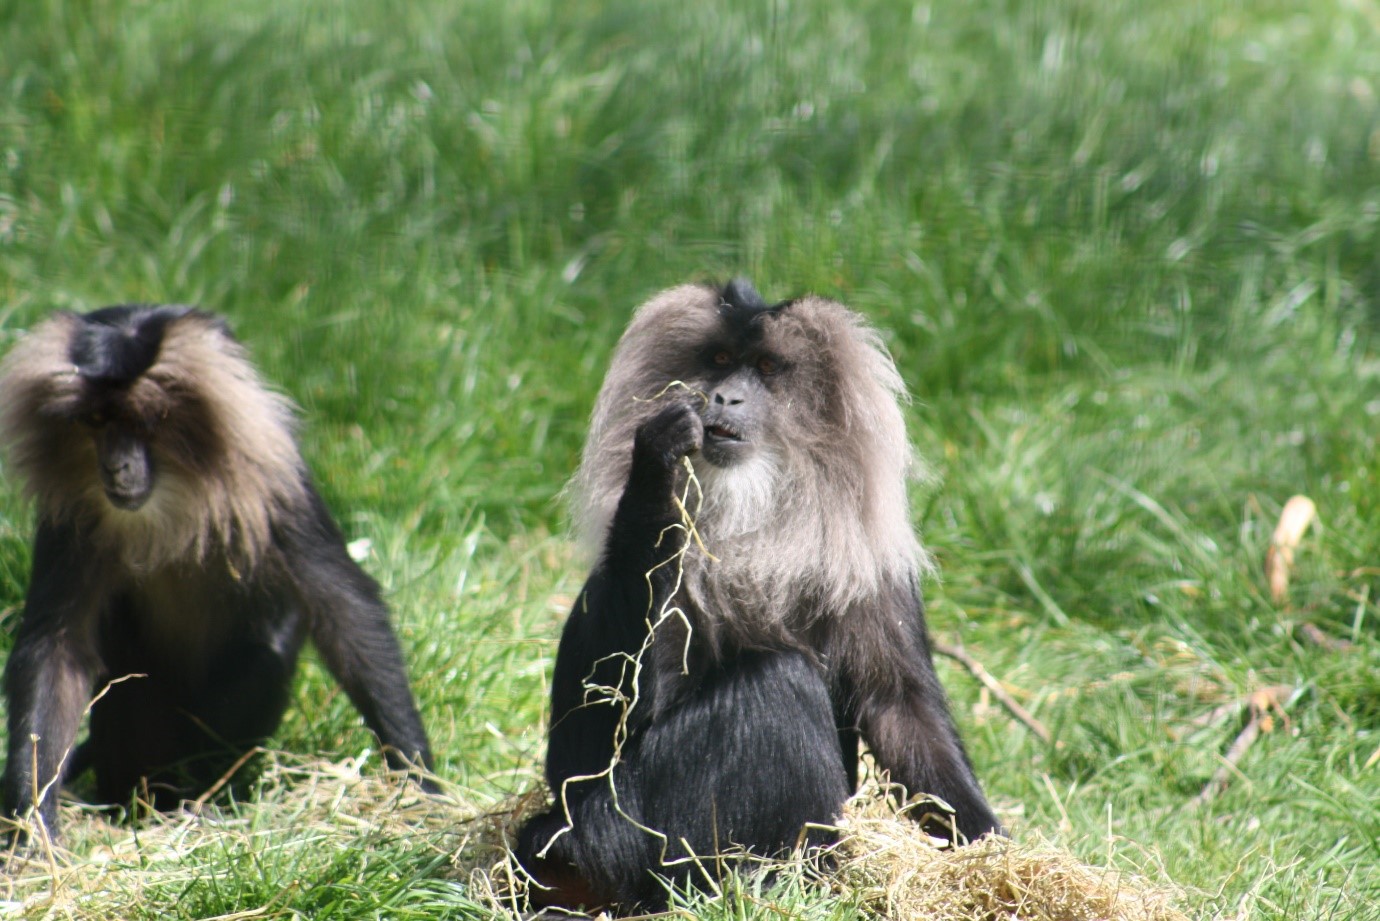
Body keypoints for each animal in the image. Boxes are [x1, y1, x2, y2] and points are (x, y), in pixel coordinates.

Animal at [0, 306, 433, 839]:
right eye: (96, 420)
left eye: (145, 420)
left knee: (264, 655)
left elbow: (345, 607)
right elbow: (55, 648)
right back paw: (147, 801)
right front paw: (32, 827)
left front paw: (421, 786)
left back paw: (205, 796)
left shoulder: (273, 469)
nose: (116, 468)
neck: (169, 495)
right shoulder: (68, 514)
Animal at [518, 277, 1004, 911]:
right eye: (721, 361)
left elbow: (900, 706)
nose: (724, 399)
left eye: (768, 368)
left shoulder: (867, 560)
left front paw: (997, 856)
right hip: (626, 829)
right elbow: (616, 707)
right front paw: (657, 462)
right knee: (776, 681)